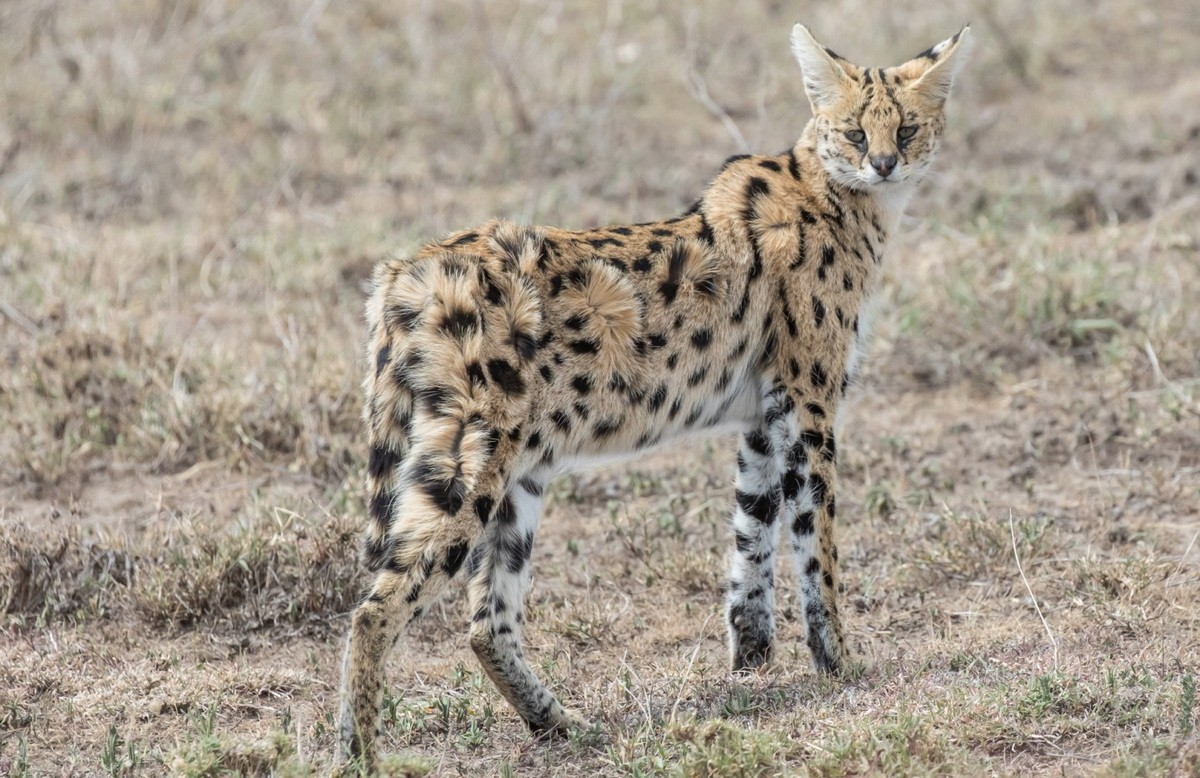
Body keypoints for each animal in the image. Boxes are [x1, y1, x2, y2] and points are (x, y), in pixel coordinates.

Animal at [336, 22, 964, 763]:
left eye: (909, 127)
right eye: (856, 133)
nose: (887, 164)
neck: (838, 196)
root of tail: (410, 269)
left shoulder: (764, 414)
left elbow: (752, 536)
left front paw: (752, 661)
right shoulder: (808, 401)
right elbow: (817, 543)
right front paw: (837, 660)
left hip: (518, 472)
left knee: (486, 620)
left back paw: (557, 723)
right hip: (471, 463)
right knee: (376, 610)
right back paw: (358, 752)